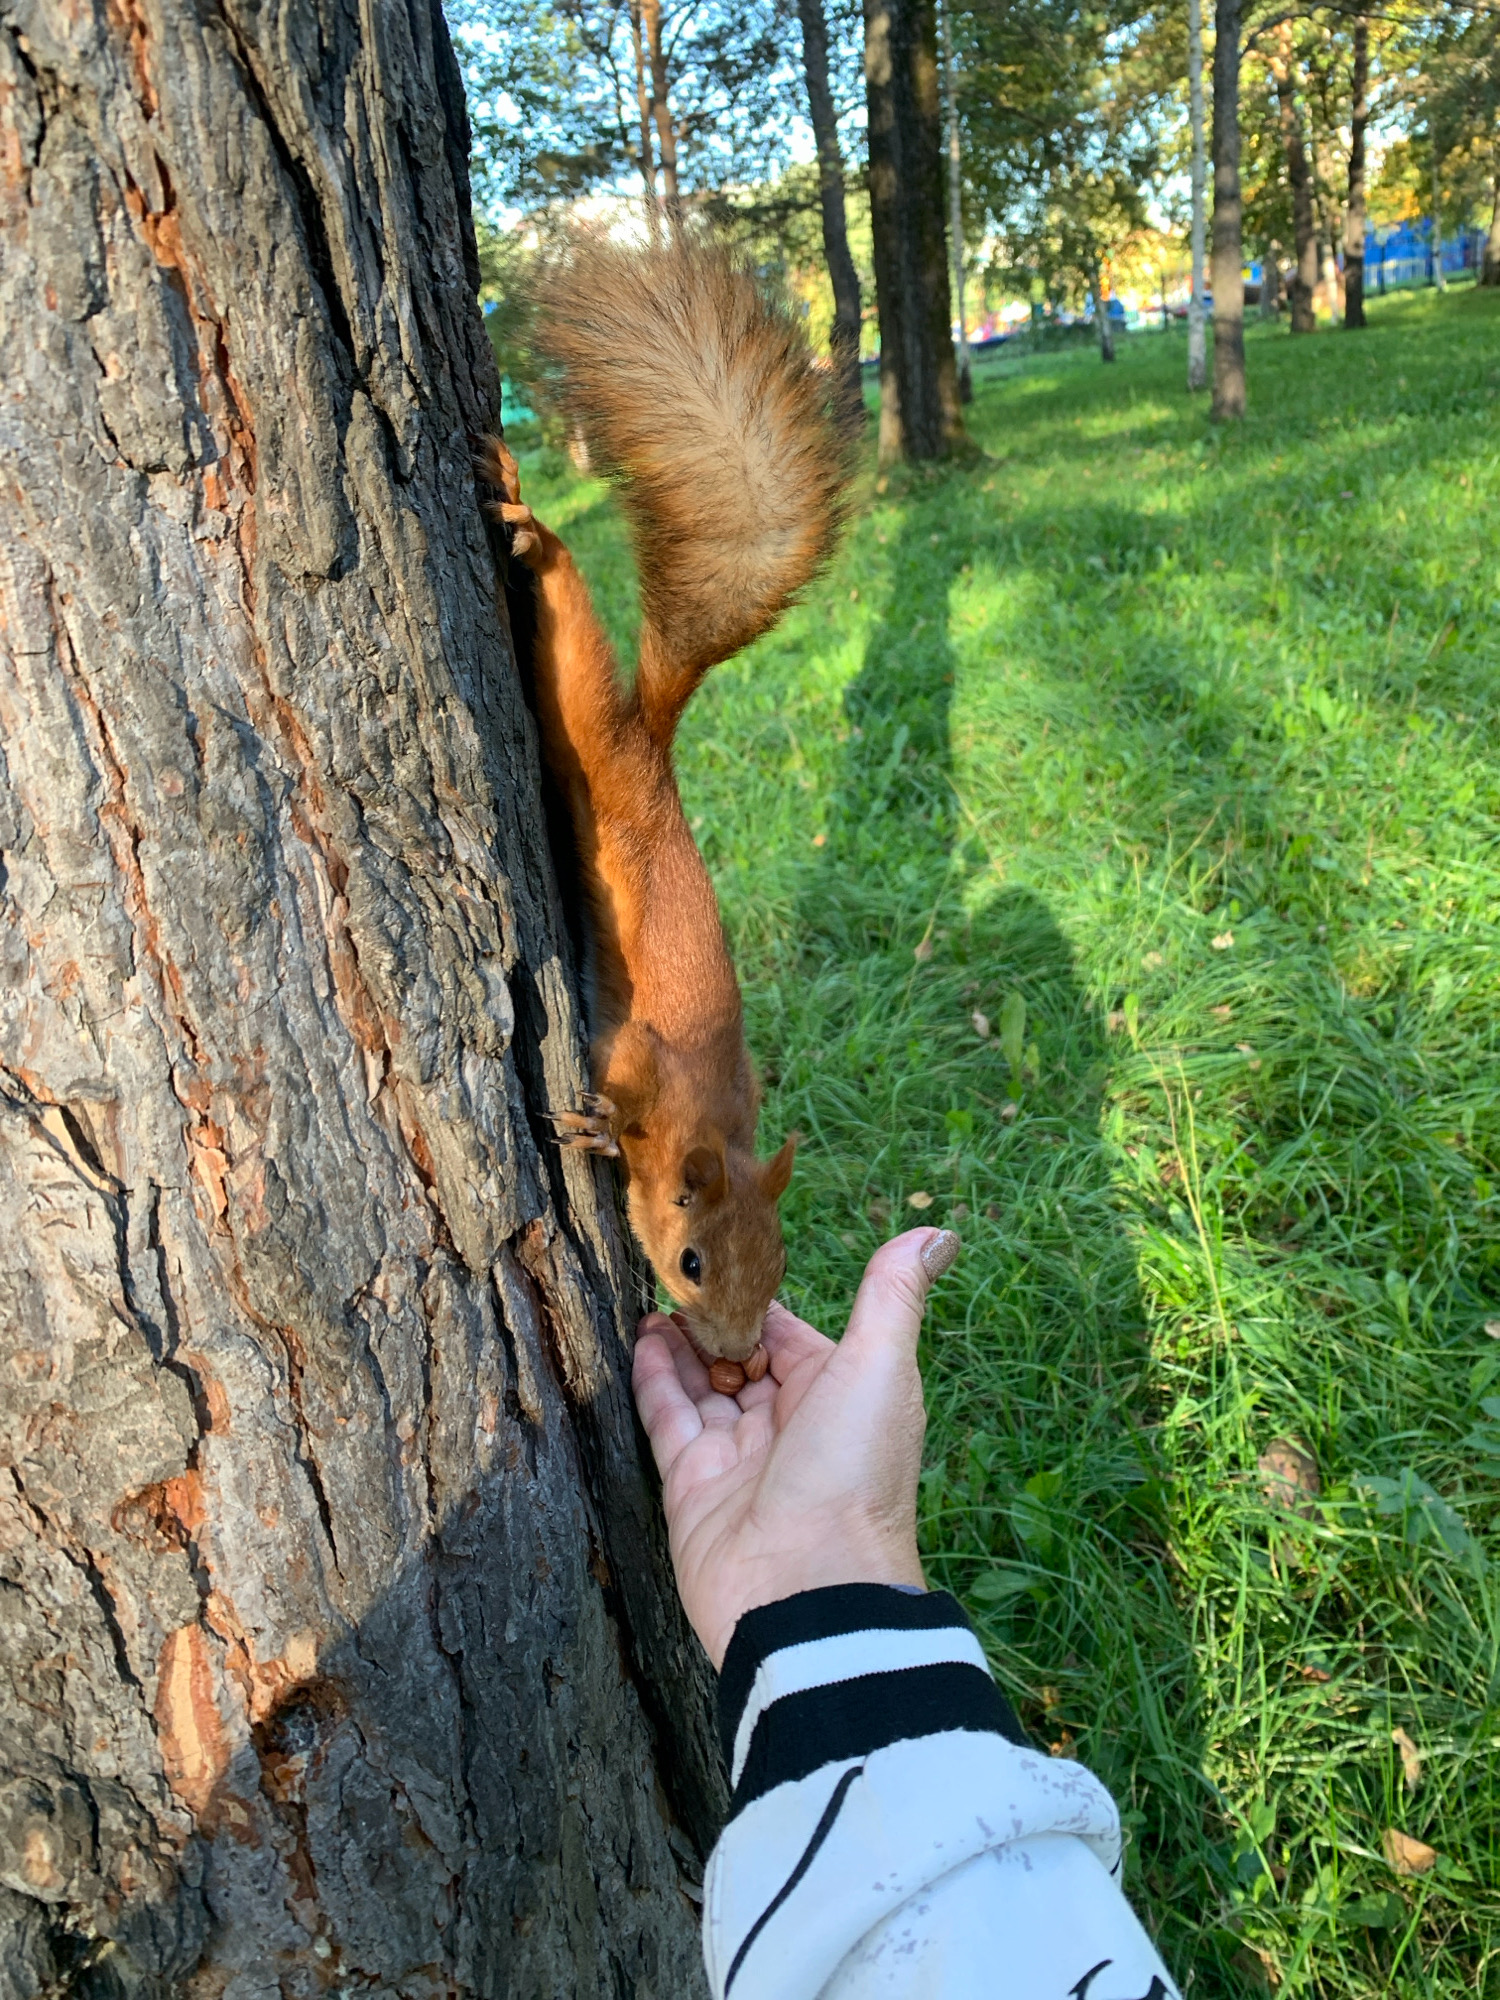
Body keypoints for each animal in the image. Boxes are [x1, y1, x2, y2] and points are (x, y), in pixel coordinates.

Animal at [478, 232, 846, 1366]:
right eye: (690, 1263)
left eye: (778, 1266)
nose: (734, 1358)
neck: (714, 1122)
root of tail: (652, 754)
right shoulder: (643, 1056)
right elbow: (618, 1082)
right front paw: (598, 1128)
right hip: (589, 734)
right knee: (570, 636)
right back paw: (532, 530)